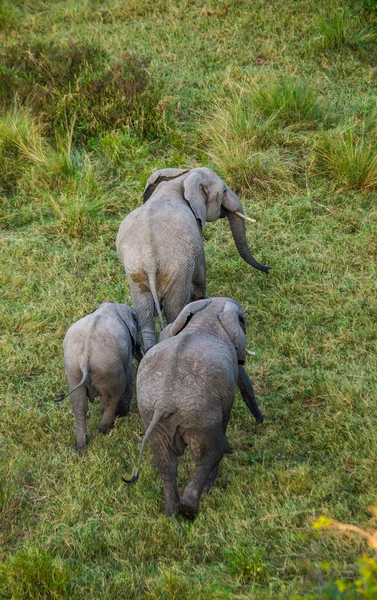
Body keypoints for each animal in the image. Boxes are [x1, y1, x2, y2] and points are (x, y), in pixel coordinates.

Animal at [60, 302, 142, 452]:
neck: (111, 306)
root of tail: (85, 358)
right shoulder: (126, 350)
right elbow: (128, 376)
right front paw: (123, 412)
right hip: (109, 369)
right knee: (113, 396)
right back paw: (105, 428)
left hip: (74, 370)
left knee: (79, 404)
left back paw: (82, 447)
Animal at [116, 166, 268, 350]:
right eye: (224, 191)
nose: (269, 269)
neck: (182, 178)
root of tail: (150, 261)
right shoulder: (197, 240)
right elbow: (200, 274)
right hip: (177, 273)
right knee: (173, 310)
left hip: (135, 274)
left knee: (144, 314)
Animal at [125, 298, 262, 516]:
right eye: (243, 319)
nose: (260, 421)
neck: (207, 314)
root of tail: (165, 402)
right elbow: (241, 377)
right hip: (200, 417)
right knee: (208, 455)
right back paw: (190, 507)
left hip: (151, 413)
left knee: (165, 462)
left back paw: (171, 512)